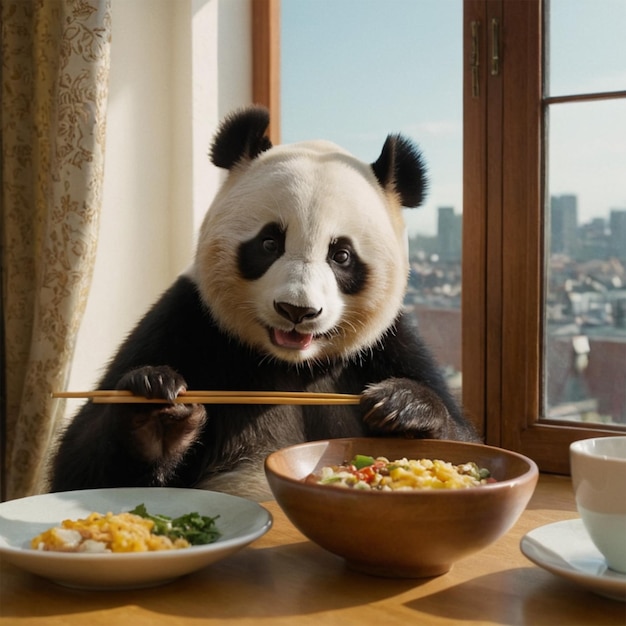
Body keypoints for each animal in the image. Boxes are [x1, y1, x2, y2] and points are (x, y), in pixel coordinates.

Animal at [50, 106, 478, 498]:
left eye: (341, 255)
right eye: (269, 243)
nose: (297, 311)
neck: (294, 366)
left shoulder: (388, 345)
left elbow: (464, 437)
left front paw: (404, 405)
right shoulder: (186, 320)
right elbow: (79, 468)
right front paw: (156, 411)